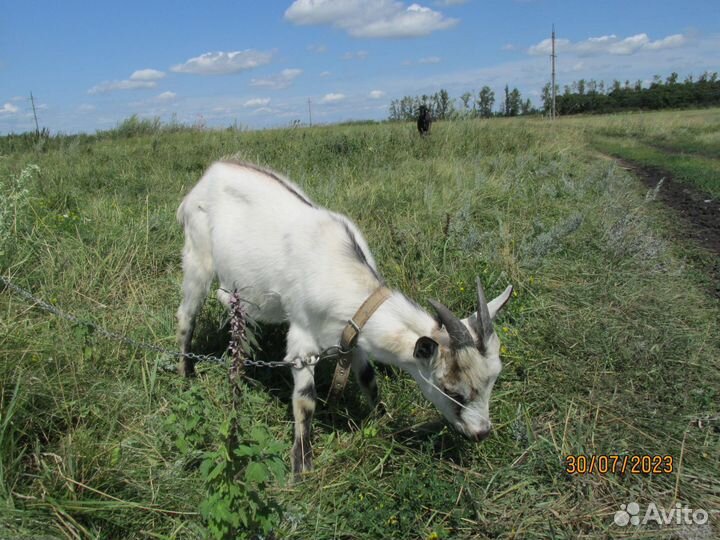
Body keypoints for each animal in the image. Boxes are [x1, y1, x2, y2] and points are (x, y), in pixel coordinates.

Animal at [176, 160, 513, 474]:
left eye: (493, 380)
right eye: (453, 391)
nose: (482, 433)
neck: (341, 272)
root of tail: (211, 172)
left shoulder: (353, 333)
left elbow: (369, 379)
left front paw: (382, 419)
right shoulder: (302, 339)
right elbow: (305, 401)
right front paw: (302, 466)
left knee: (230, 302)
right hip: (197, 257)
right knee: (187, 314)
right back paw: (186, 372)